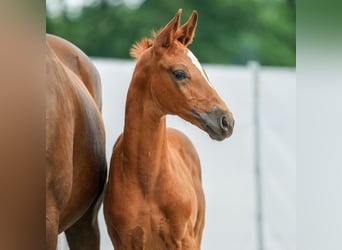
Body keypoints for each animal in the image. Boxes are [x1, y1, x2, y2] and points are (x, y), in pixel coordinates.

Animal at [103, 9, 234, 250]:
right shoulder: (125, 241)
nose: (226, 121)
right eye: (179, 73)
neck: (147, 181)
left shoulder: (184, 239)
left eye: (204, 71)